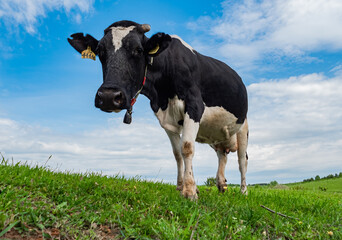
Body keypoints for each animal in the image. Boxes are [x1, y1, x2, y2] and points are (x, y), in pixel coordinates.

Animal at [67, 20, 248, 199]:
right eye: (100, 51)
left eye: (138, 50)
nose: (108, 96)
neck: (161, 93)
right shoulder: (166, 119)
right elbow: (177, 154)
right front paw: (181, 187)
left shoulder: (195, 105)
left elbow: (187, 147)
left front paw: (190, 191)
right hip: (217, 135)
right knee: (222, 155)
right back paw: (221, 186)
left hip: (243, 127)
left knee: (242, 160)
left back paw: (243, 192)